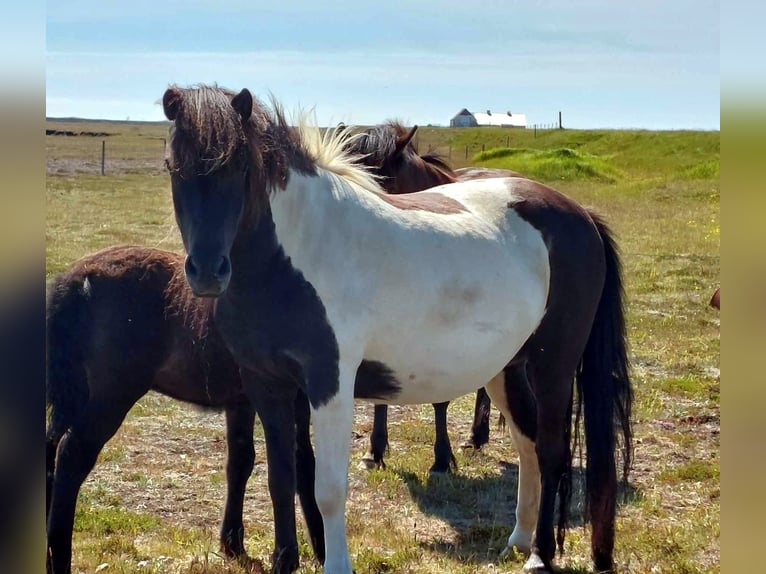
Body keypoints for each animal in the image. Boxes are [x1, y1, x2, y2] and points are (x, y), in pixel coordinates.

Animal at [164, 85, 636, 574]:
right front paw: (283, 562)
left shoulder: (329, 384)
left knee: (551, 451)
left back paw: (540, 555)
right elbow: (281, 480)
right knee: (527, 443)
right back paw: (519, 540)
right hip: (506, 368)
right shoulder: (267, 385)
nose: (207, 273)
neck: (293, 254)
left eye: (241, 166)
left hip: (554, 367)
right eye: (171, 166)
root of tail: (580, 214)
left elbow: (327, 489)